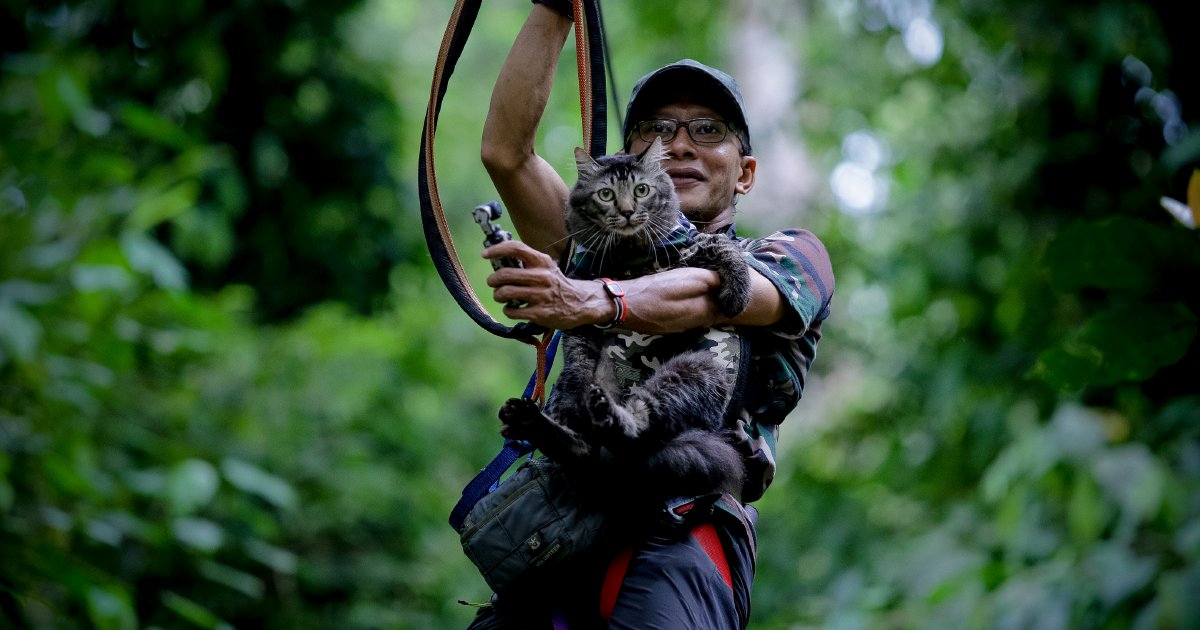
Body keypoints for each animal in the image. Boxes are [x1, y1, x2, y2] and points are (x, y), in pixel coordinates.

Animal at [496, 137, 748, 501]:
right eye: (606, 194)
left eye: (641, 190)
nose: (627, 211)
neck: (631, 253)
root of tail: (613, 472)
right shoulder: (581, 318)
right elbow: (577, 366)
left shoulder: (689, 250)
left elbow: (724, 247)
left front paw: (737, 292)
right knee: (587, 445)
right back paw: (536, 421)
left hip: (700, 369)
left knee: (636, 425)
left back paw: (604, 418)